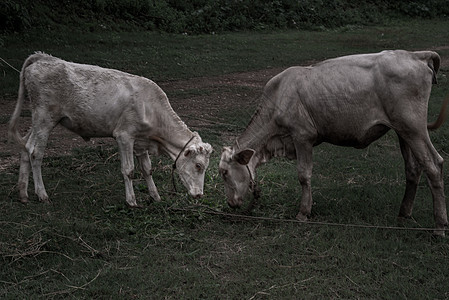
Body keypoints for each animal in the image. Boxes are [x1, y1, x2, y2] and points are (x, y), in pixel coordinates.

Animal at [8, 52, 212, 206]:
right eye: (198, 165)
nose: (199, 195)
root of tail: (43, 57)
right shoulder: (124, 136)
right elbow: (129, 170)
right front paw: (131, 201)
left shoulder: (140, 141)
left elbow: (147, 169)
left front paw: (155, 196)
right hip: (44, 118)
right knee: (35, 152)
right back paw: (42, 194)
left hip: (38, 120)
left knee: (25, 146)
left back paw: (23, 193)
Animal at [219, 50, 446, 234]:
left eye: (224, 173)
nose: (230, 203)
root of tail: (415, 54)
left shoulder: (302, 136)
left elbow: (303, 175)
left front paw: (303, 213)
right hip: (402, 132)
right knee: (413, 169)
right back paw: (403, 215)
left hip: (414, 128)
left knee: (434, 165)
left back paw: (439, 227)